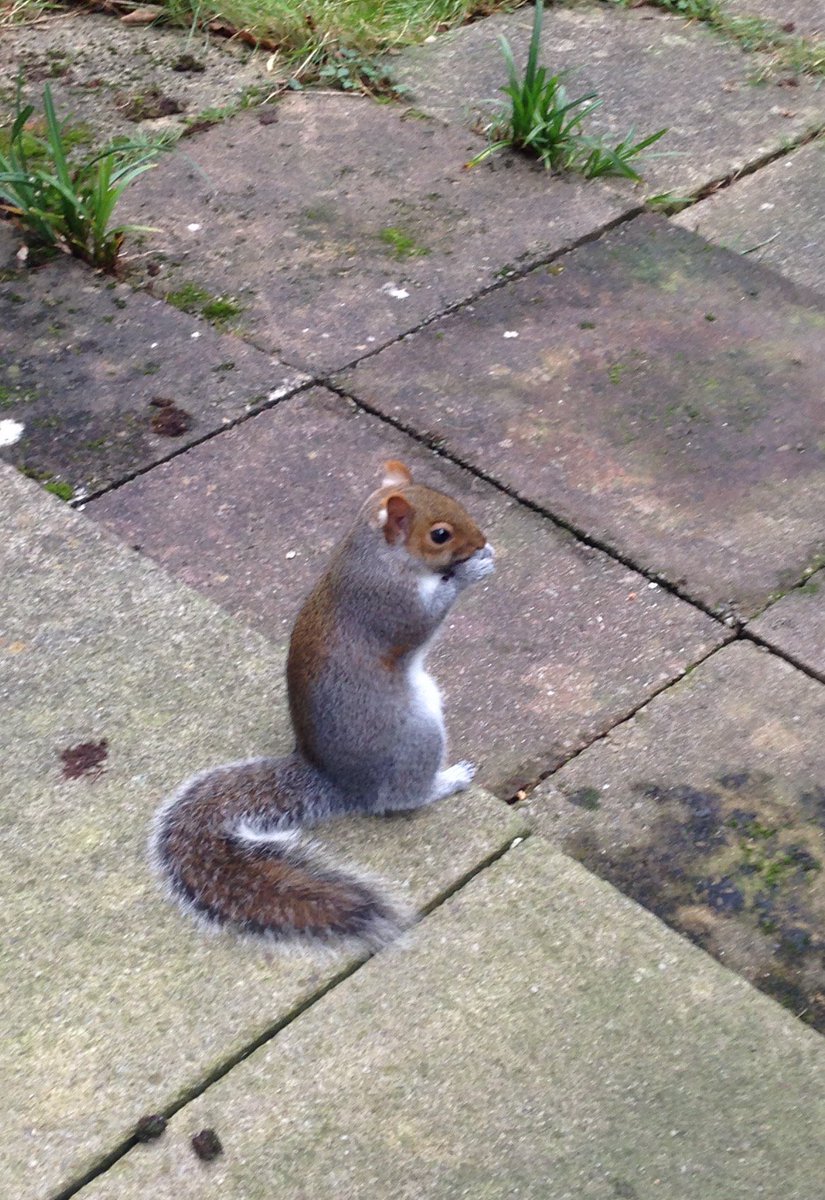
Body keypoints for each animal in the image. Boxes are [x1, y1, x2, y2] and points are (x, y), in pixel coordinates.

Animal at [150, 460, 495, 952]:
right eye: (440, 534)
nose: (481, 541)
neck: (377, 554)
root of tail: (340, 782)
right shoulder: (390, 603)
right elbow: (425, 619)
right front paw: (472, 571)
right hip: (416, 735)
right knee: (403, 797)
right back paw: (447, 781)